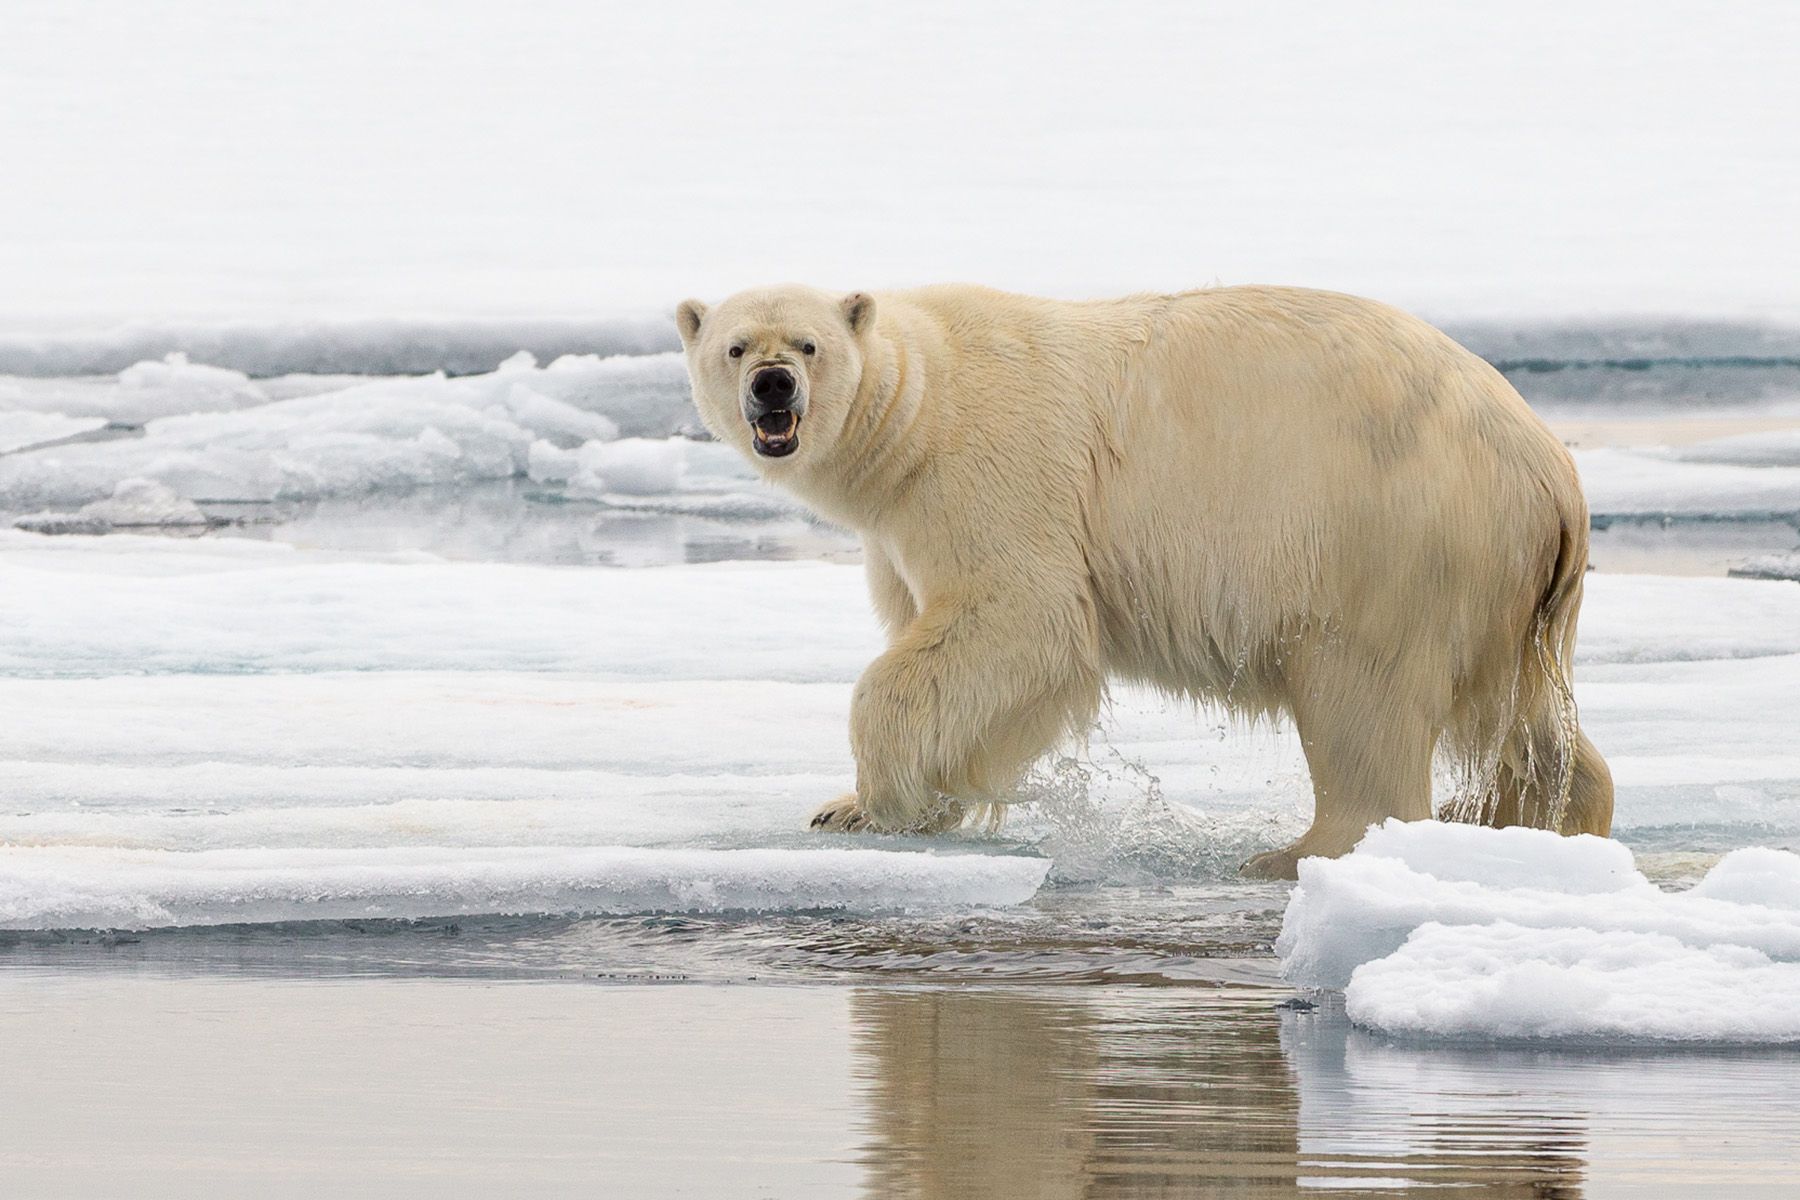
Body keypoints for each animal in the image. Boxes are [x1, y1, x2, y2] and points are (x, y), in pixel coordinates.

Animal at [676, 286, 1620, 877]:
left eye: (807, 344)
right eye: (734, 345)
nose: (772, 387)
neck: (917, 410)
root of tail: (1552, 471)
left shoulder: (990, 472)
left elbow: (1021, 621)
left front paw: (882, 801)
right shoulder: (899, 530)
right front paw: (852, 808)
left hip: (1386, 540)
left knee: (1363, 699)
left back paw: (1296, 853)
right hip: (1500, 592)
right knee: (1522, 717)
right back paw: (1537, 821)